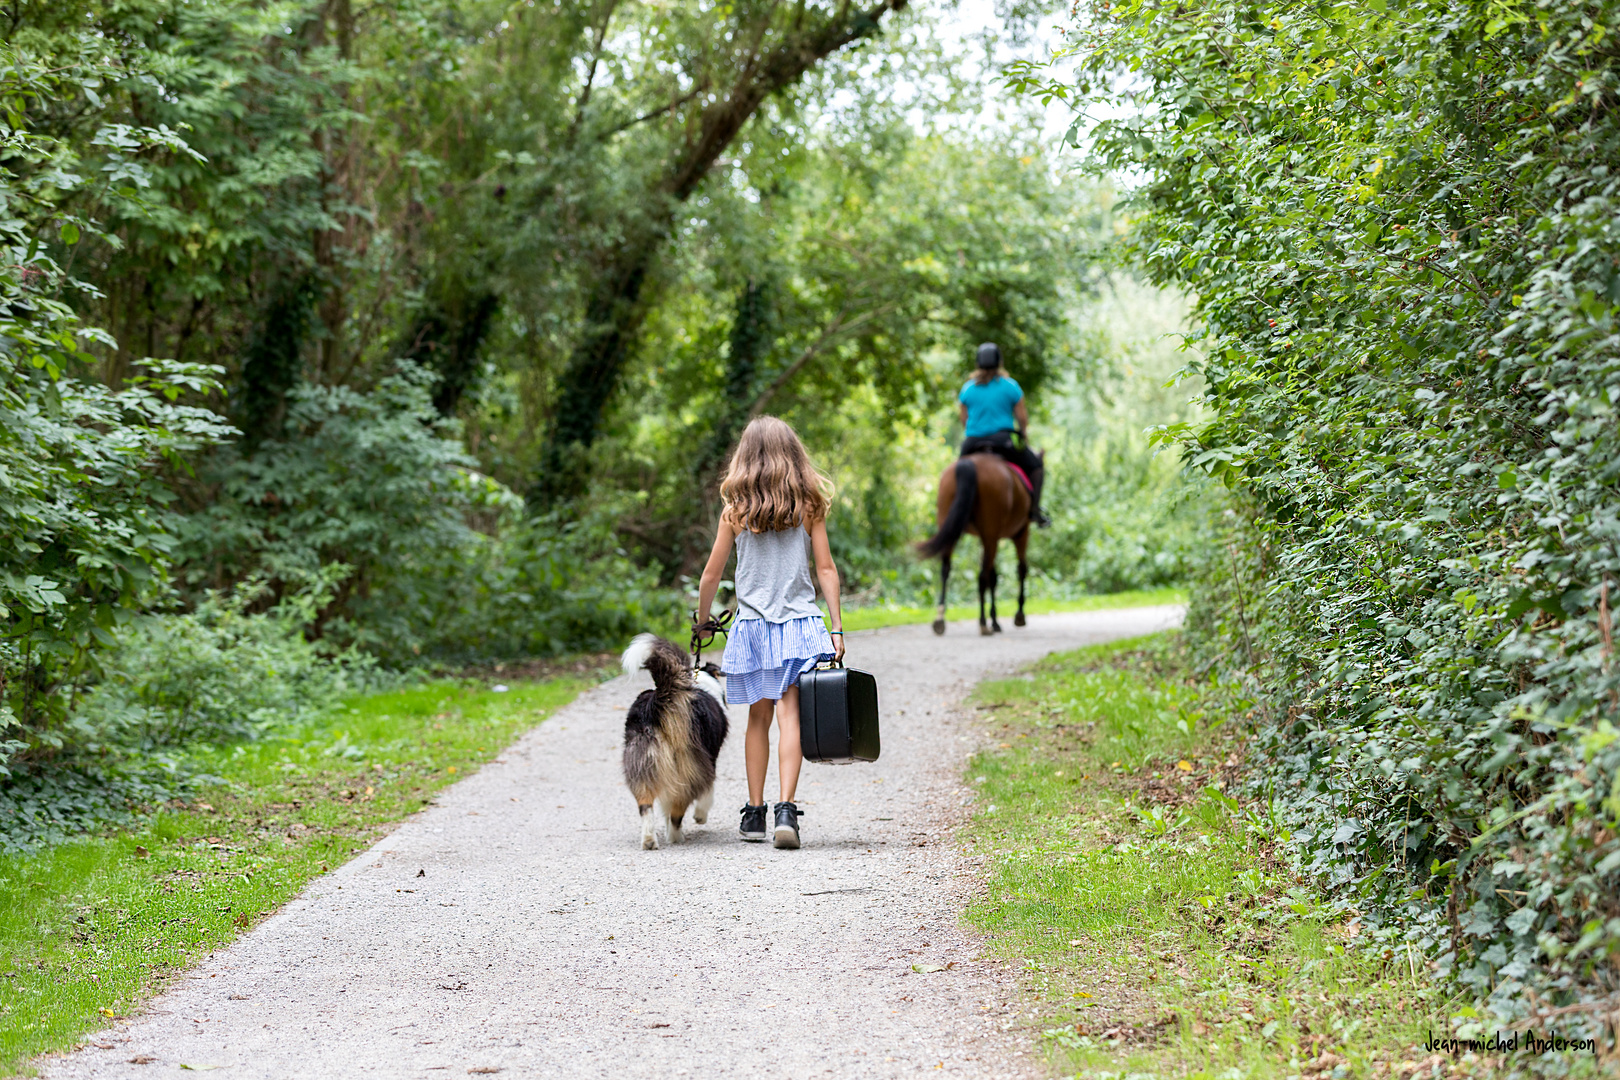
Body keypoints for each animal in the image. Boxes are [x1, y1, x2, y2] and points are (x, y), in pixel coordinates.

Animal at [618, 634, 729, 854]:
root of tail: (656, 704)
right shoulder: (709, 762)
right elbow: (707, 796)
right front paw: (700, 816)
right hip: (687, 767)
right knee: (678, 810)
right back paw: (675, 837)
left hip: (642, 762)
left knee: (645, 805)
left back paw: (649, 840)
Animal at [920, 453, 1030, 637]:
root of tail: (969, 463)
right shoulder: (1020, 533)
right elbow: (1020, 570)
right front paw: (1018, 615)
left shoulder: (989, 538)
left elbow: (994, 576)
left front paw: (996, 620)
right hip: (993, 532)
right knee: (982, 576)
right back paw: (983, 623)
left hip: (951, 525)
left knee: (946, 570)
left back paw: (940, 619)